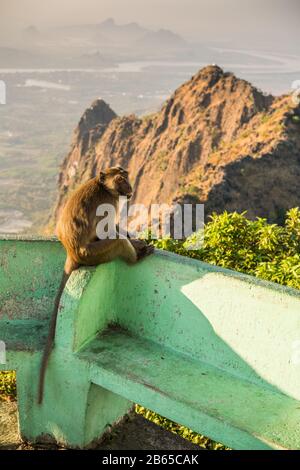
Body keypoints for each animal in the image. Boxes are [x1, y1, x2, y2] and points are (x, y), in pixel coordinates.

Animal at [37, 167, 154, 406]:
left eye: (126, 177)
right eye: (120, 179)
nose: (129, 187)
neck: (103, 187)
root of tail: (72, 254)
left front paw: (134, 237)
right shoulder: (110, 201)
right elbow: (108, 230)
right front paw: (135, 243)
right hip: (93, 253)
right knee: (116, 242)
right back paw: (136, 258)